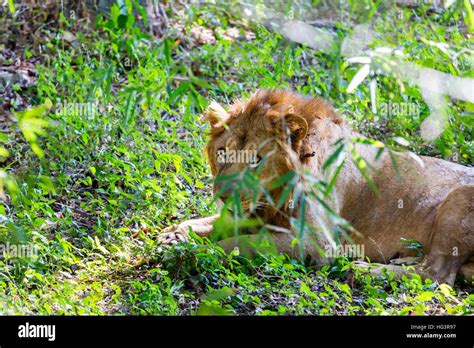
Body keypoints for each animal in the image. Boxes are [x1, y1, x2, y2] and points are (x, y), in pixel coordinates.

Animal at [159, 89, 474, 286]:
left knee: (437, 275)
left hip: (459, 201)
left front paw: (195, 251)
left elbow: (240, 243)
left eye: (256, 159)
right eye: (223, 152)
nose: (223, 196)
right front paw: (175, 234)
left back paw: (365, 271)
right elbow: (209, 223)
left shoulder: (317, 242)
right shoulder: (257, 214)